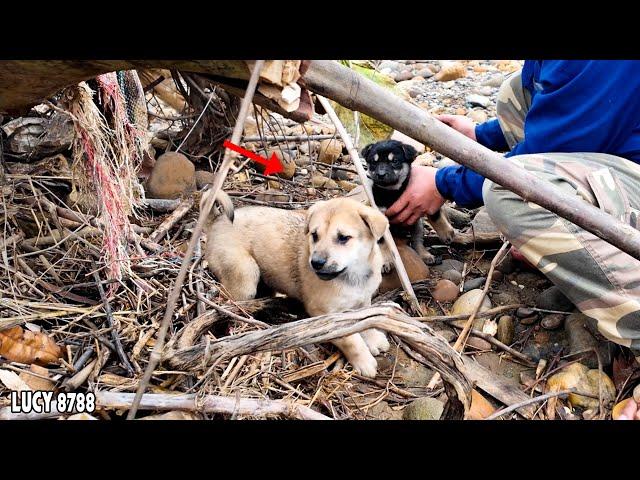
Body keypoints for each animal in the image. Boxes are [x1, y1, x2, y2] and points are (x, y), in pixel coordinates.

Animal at [206, 195, 390, 378]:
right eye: (314, 235)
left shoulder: (362, 302)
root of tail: (217, 220)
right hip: (245, 277)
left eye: (343, 237)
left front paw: (375, 340)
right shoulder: (324, 314)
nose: (316, 263)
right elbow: (351, 339)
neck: (353, 276)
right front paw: (364, 361)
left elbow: (368, 321)